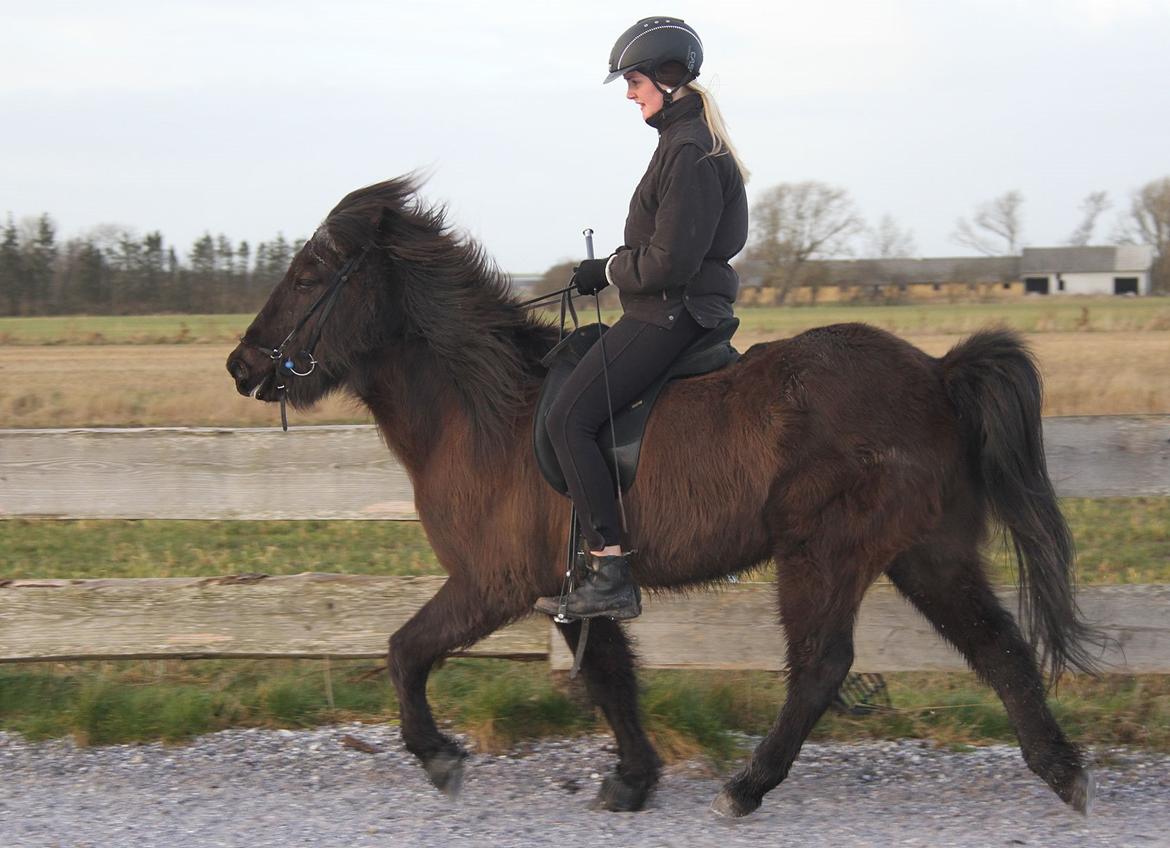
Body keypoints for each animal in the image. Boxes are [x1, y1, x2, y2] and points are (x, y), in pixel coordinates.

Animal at [223, 176, 1099, 814]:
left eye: (309, 274)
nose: (241, 364)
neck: (485, 413)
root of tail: (938, 374)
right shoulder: (570, 586)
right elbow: (610, 676)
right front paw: (633, 778)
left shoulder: (492, 582)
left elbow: (406, 649)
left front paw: (439, 757)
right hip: (926, 552)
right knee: (998, 646)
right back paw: (1061, 771)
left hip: (823, 553)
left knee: (822, 665)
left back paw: (749, 786)